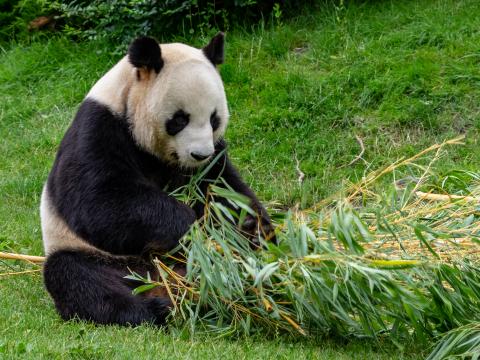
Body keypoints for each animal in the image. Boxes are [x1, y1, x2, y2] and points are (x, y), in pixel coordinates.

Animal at [40, 33, 274, 326]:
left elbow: (223, 188)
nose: (200, 154)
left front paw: (251, 228)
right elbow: (99, 202)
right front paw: (189, 226)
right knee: (80, 278)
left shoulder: (211, 158)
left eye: (214, 119)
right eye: (180, 119)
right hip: (99, 256)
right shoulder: (99, 127)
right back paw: (156, 308)